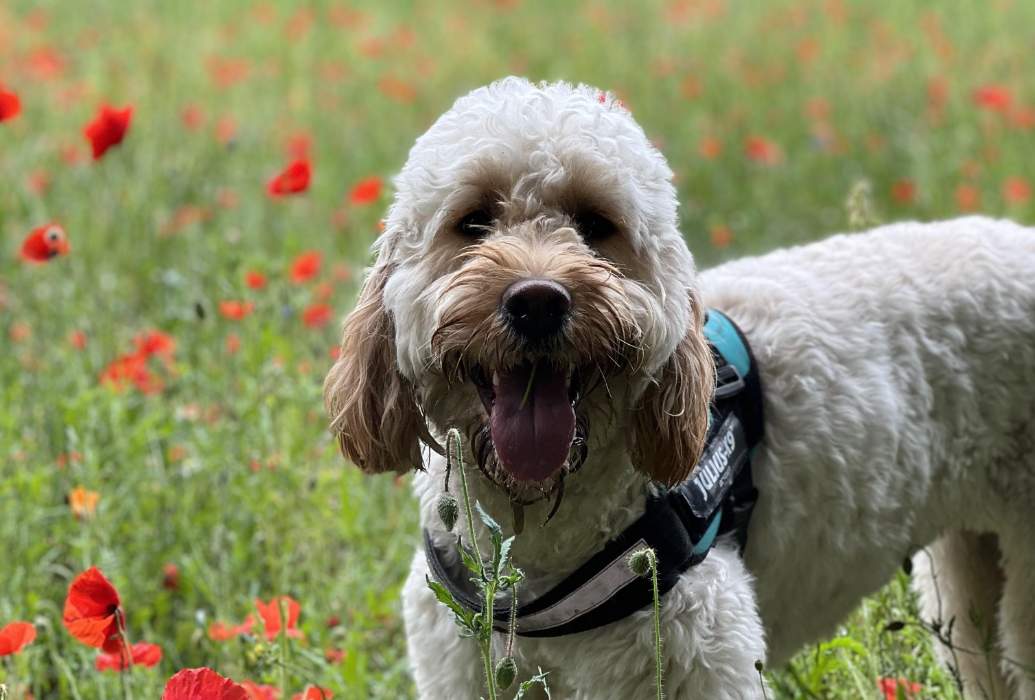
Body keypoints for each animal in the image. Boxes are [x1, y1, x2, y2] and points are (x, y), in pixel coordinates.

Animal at [322, 79, 1035, 695]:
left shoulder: (697, 652)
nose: (537, 302)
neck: (541, 539)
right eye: (472, 222)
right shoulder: (464, 665)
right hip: (967, 581)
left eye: (596, 224)